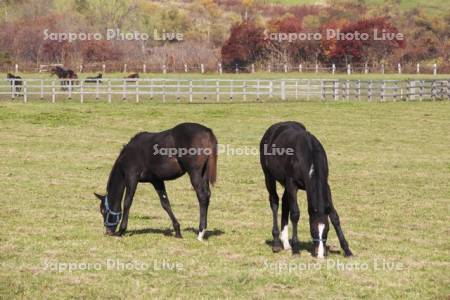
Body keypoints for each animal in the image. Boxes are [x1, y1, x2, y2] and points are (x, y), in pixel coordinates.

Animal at [260, 122, 352, 258]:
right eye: (312, 230)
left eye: (326, 230)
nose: (320, 254)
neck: (309, 155)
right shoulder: (292, 184)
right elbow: (295, 214)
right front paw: (296, 250)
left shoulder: (326, 185)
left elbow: (334, 216)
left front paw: (347, 250)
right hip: (269, 177)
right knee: (274, 202)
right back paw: (277, 243)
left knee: (285, 202)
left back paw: (286, 243)